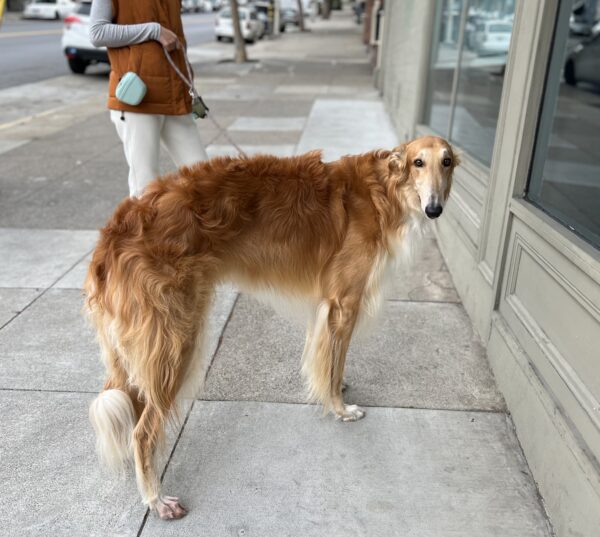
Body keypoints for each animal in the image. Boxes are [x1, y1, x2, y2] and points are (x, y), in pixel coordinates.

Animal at [85, 136, 460, 516]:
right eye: (418, 162)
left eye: (446, 162)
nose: (434, 209)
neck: (381, 189)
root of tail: (112, 235)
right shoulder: (344, 303)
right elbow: (333, 366)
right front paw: (340, 408)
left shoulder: (328, 308)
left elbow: (330, 363)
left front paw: (337, 388)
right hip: (176, 341)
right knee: (143, 431)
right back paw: (156, 498)